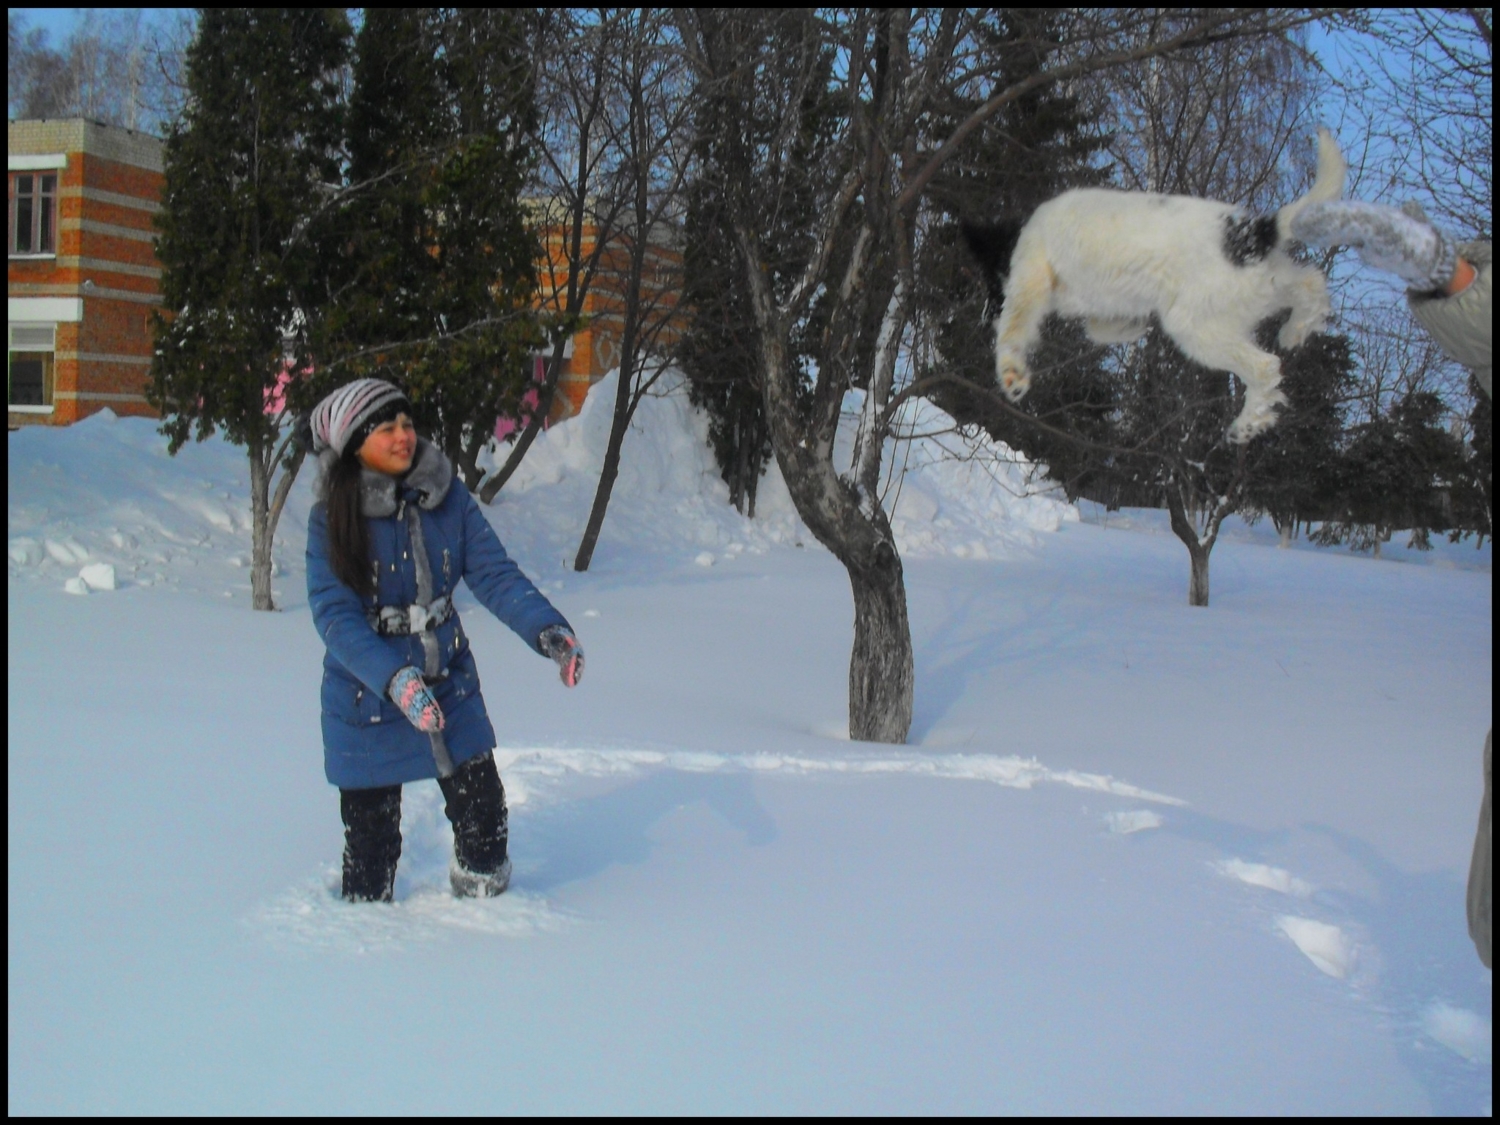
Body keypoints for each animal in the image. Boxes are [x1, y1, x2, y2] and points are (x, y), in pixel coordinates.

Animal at [960, 129, 1350, 444]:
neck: (1019, 236)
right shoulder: (1102, 300)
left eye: (990, 283)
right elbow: (1096, 328)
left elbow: (1014, 329)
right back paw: (1296, 331)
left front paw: (1012, 376)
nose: (985, 317)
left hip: (1196, 323)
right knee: (1311, 283)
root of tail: (1253, 233)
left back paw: (1248, 424)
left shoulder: (1030, 279)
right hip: (1265, 285)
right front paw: (1131, 328)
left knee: (1265, 366)